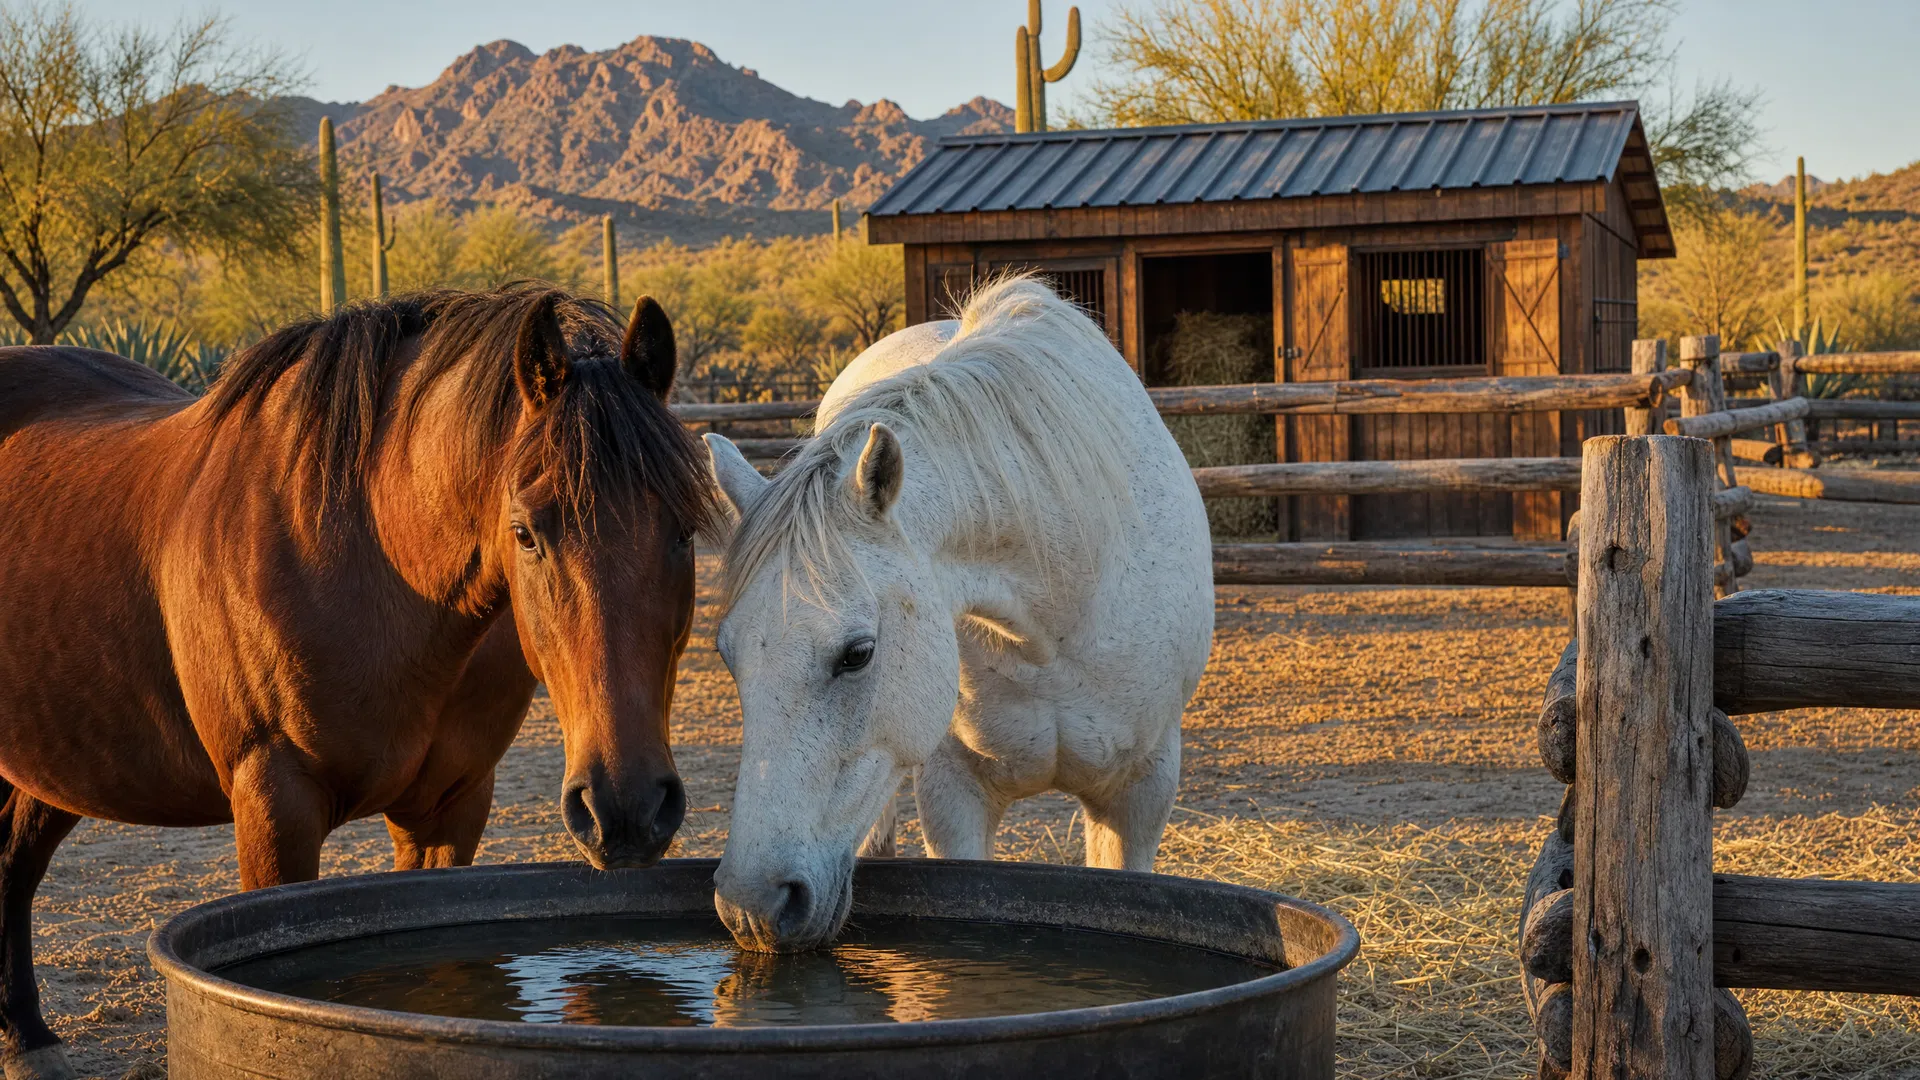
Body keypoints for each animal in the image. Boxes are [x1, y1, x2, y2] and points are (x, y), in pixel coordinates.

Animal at [0, 285, 716, 1078]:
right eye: (527, 532)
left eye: (684, 530)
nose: (626, 809)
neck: (372, 560)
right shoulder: (275, 805)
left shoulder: (451, 808)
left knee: (12, 867)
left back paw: (28, 1037)